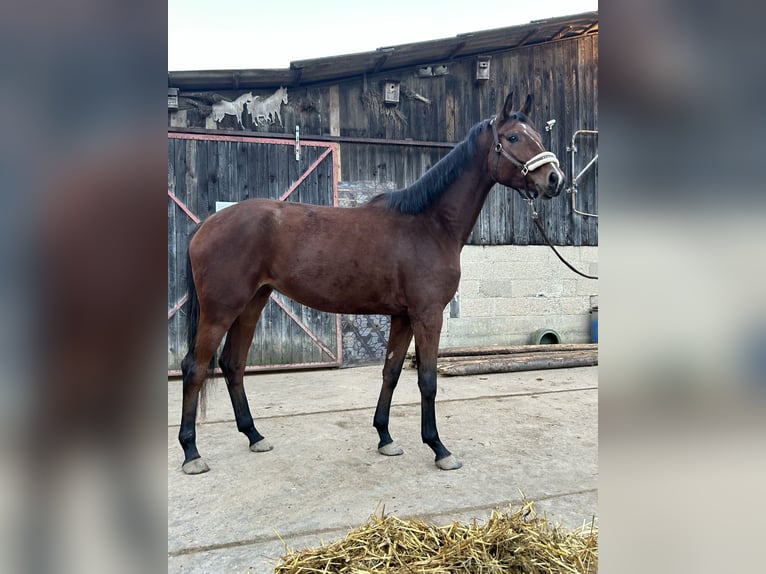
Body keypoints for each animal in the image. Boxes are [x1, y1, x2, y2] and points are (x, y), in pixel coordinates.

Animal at [178, 91, 564, 476]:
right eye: (512, 138)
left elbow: (391, 372)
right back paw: (192, 453)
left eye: (538, 136)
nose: (555, 179)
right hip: (220, 310)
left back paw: (254, 435)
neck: (429, 224)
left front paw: (385, 437)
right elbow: (427, 380)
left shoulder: (403, 316)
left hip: (252, 303)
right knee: (194, 368)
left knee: (233, 364)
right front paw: (438, 448)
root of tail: (205, 225)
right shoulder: (428, 315)